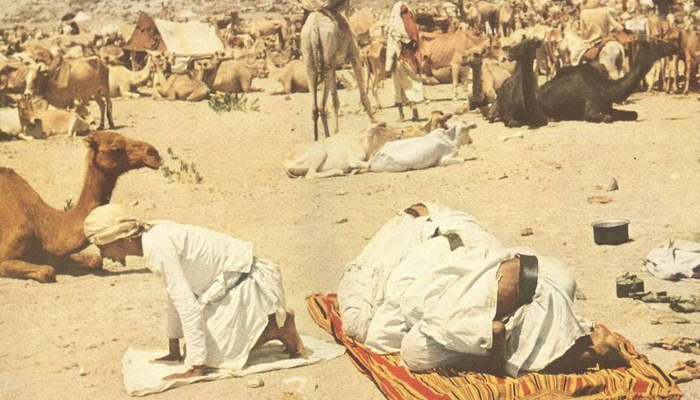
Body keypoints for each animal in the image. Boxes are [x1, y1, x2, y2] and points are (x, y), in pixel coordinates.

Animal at [536, 40, 680, 123]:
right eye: (659, 44)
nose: (675, 47)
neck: (607, 89)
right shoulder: (590, 108)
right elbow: (606, 118)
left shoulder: (607, 106)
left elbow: (634, 114)